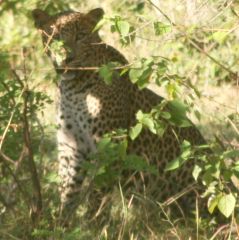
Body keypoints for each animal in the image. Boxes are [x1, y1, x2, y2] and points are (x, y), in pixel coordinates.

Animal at [32, 7, 207, 224]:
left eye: (81, 36)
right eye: (54, 37)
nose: (67, 59)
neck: (73, 88)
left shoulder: (109, 145)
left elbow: (97, 192)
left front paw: (91, 223)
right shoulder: (70, 145)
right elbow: (67, 190)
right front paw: (61, 224)